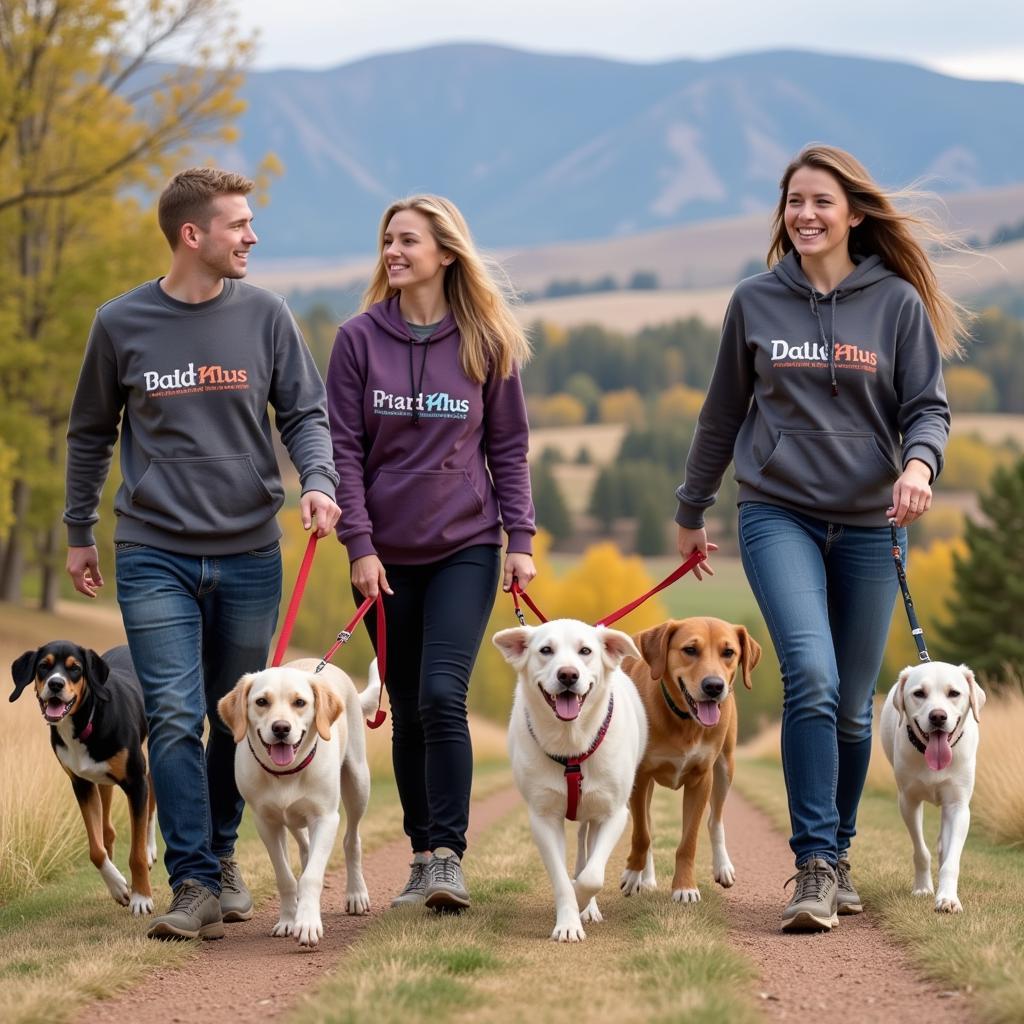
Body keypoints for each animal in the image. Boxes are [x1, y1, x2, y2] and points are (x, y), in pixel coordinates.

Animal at [10, 638, 155, 913]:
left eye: (75, 669)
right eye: (43, 666)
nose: (55, 684)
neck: (85, 723)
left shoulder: (135, 782)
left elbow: (137, 852)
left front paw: (141, 897)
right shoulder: (82, 784)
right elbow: (96, 850)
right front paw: (118, 886)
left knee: (153, 803)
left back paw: (152, 849)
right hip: (103, 781)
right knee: (107, 829)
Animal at [218, 659, 382, 946]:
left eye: (300, 702)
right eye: (261, 701)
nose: (281, 728)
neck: (285, 774)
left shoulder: (325, 818)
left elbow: (311, 877)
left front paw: (307, 923)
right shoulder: (266, 823)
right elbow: (285, 877)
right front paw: (288, 919)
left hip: (358, 784)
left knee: (352, 840)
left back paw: (356, 894)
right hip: (293, 819)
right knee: (306, 848)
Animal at [489, 614, 647, 942]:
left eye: (585, 651)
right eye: (545, 650)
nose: (568, 675)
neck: (571, 744)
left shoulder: (614, 814)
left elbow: (592, 876)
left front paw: (583, 902)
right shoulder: (543, 818)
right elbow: (562, 879)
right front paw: (568, 923)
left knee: (589, 853)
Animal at [614, 618, 761, 901]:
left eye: (729, 652)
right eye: (690, 650)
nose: (714, 686)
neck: (685, 720)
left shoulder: (701, 779)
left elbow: (689, 841)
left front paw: (685, 887)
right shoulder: (640, 777)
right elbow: (642, 834)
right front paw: (632, 874)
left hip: (726, 766)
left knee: (715, 820)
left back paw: (723, 866)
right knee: (646, 824)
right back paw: (644, 877)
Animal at [880, 659, 983, 917]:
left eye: (954, 693)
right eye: (919, 693)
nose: (938, 716)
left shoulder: (958, 806)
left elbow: (951, 860)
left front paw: (948, 898)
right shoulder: (908, 802)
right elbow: (921, 851)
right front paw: (923, 889)